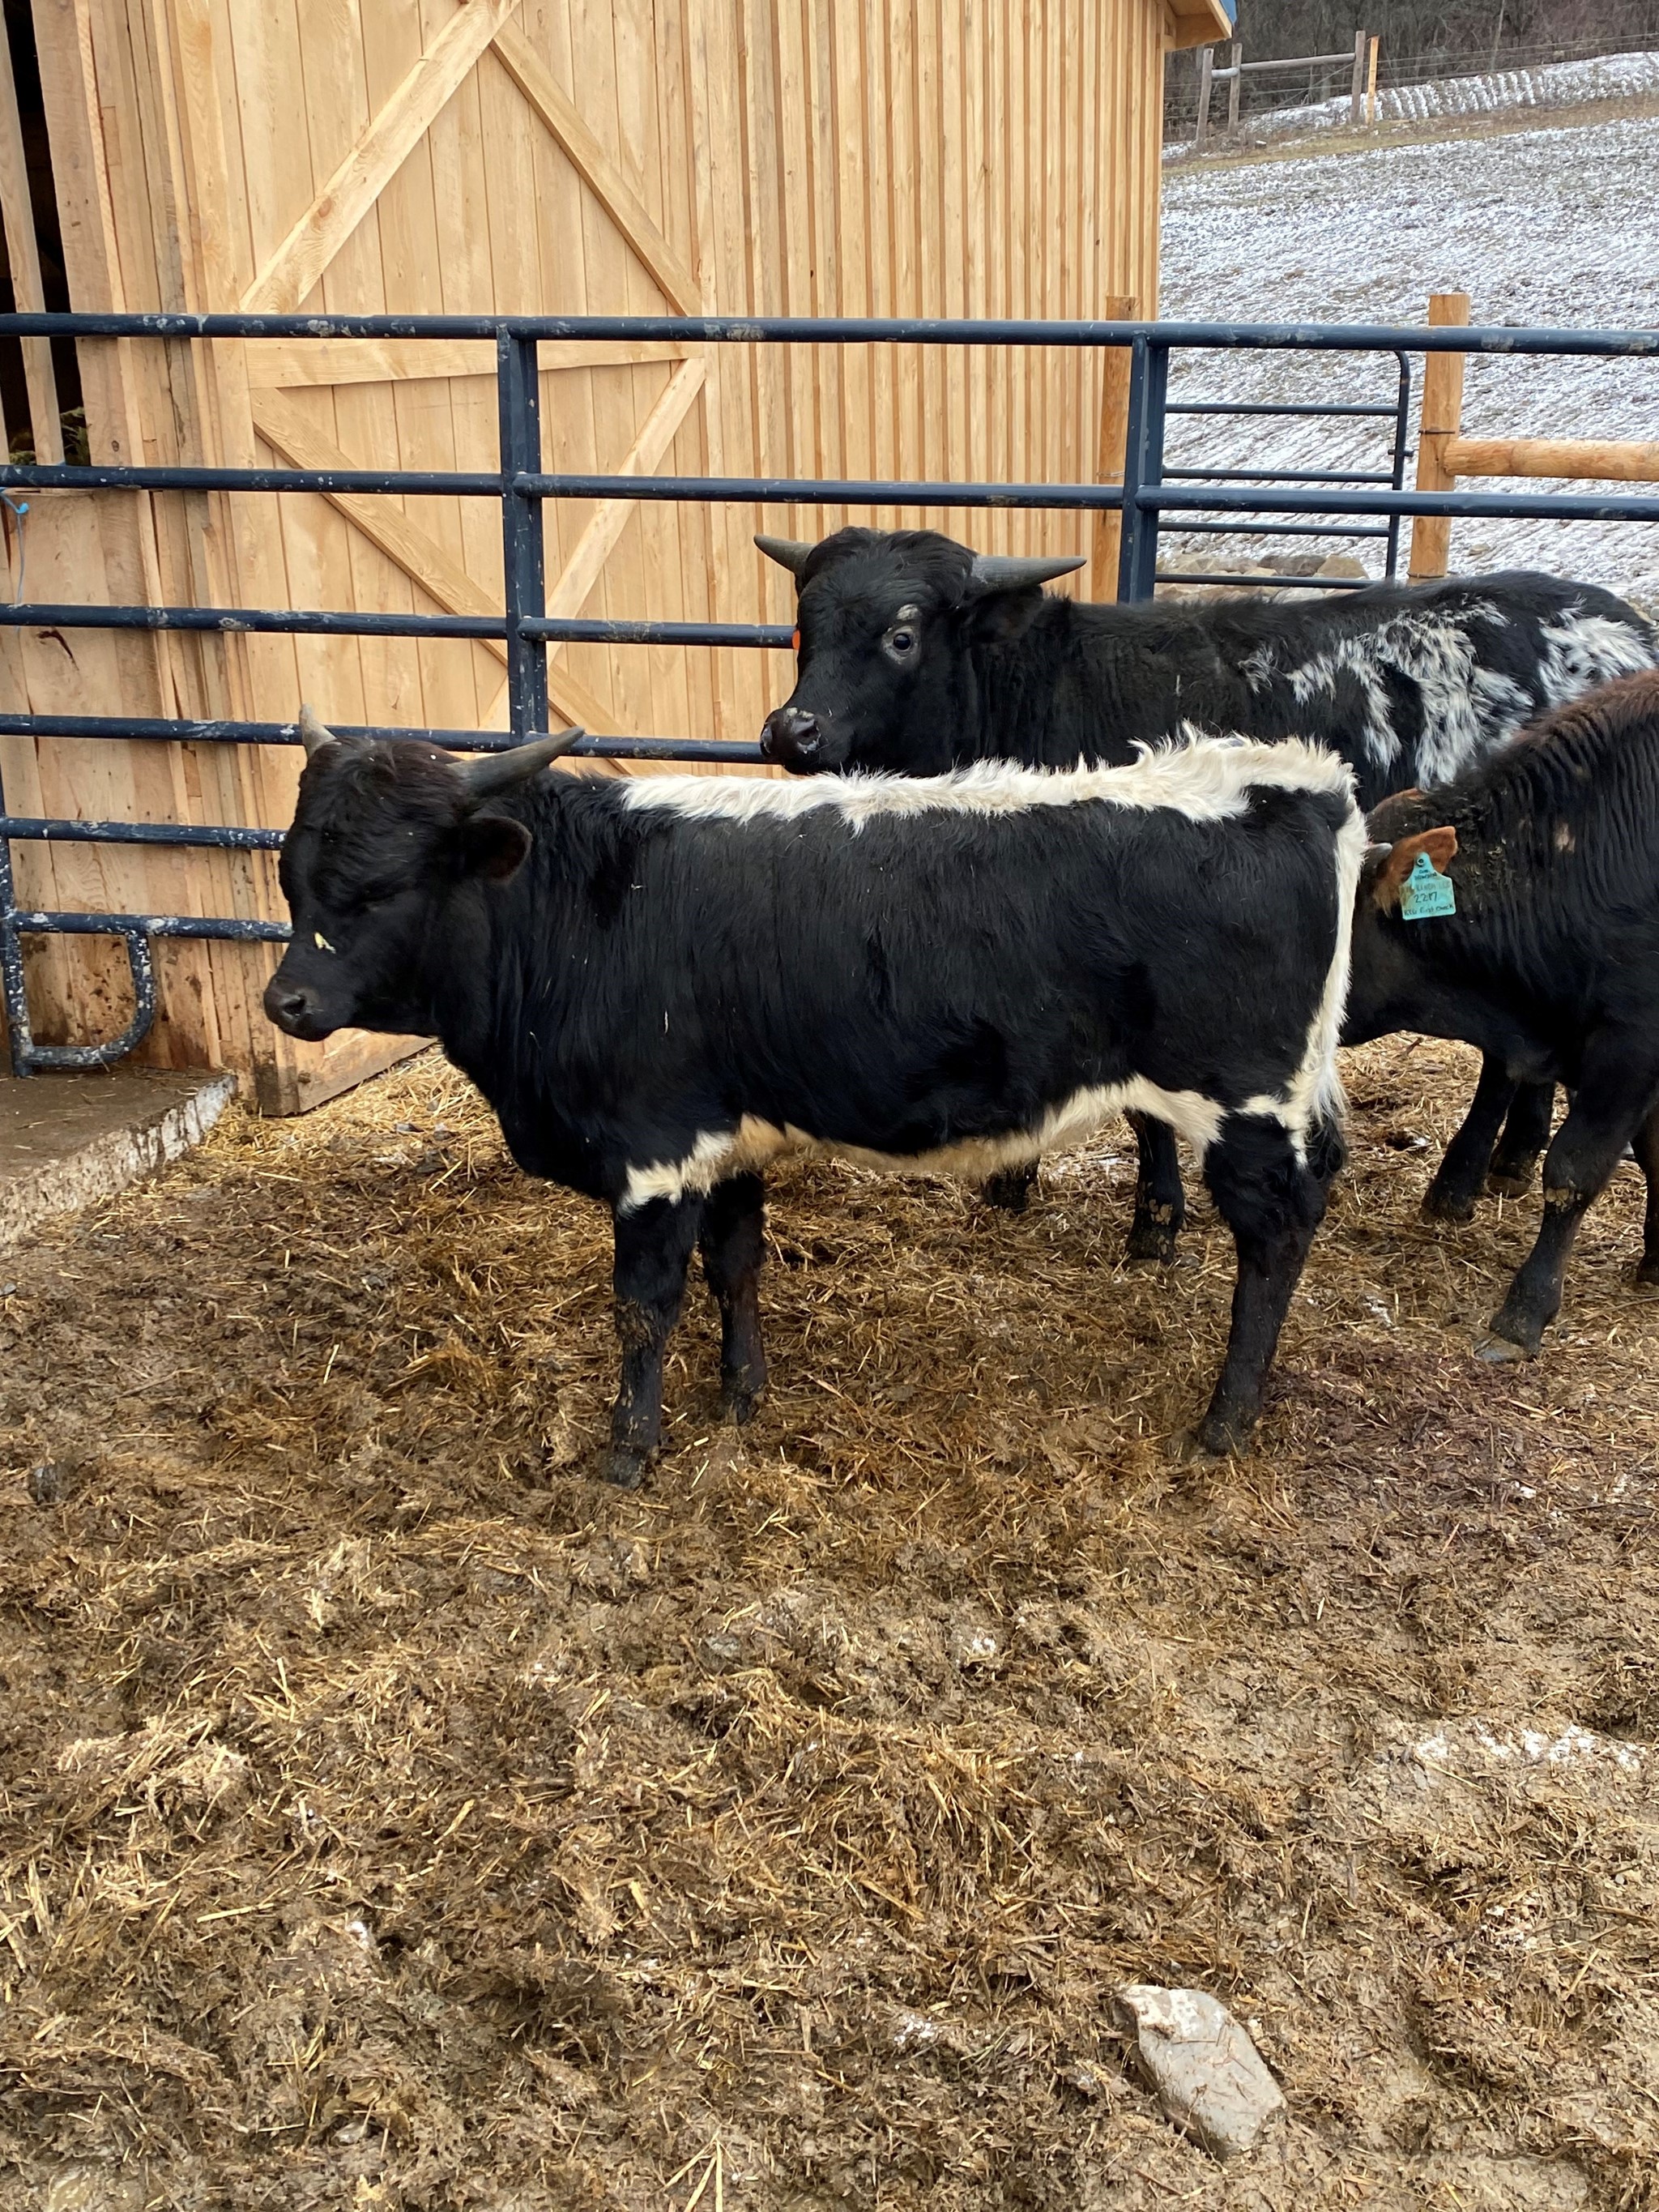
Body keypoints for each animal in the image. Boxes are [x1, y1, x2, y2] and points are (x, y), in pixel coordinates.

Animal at [264, 708, 1367, 1485]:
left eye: (385, 887)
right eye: (292, 877)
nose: (287, 1001)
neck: (582, 909)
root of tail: (1298, 782)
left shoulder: (652, 1151)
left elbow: (642, 1307)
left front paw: (629, 1449)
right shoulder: (723, 1141)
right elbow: (736, 1268)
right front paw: (741, 1397)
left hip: (1247, 1106)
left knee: (1276, 1237)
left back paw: (1224, 1419)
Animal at [753, 526, 1658, 1244]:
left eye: (902, 635)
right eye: (803, 624)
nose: (792, 731)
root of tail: (1621, 628)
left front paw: (1154, 1219)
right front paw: (1014, 1179)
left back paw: (1460, 1180)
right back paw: (1511, 1157)